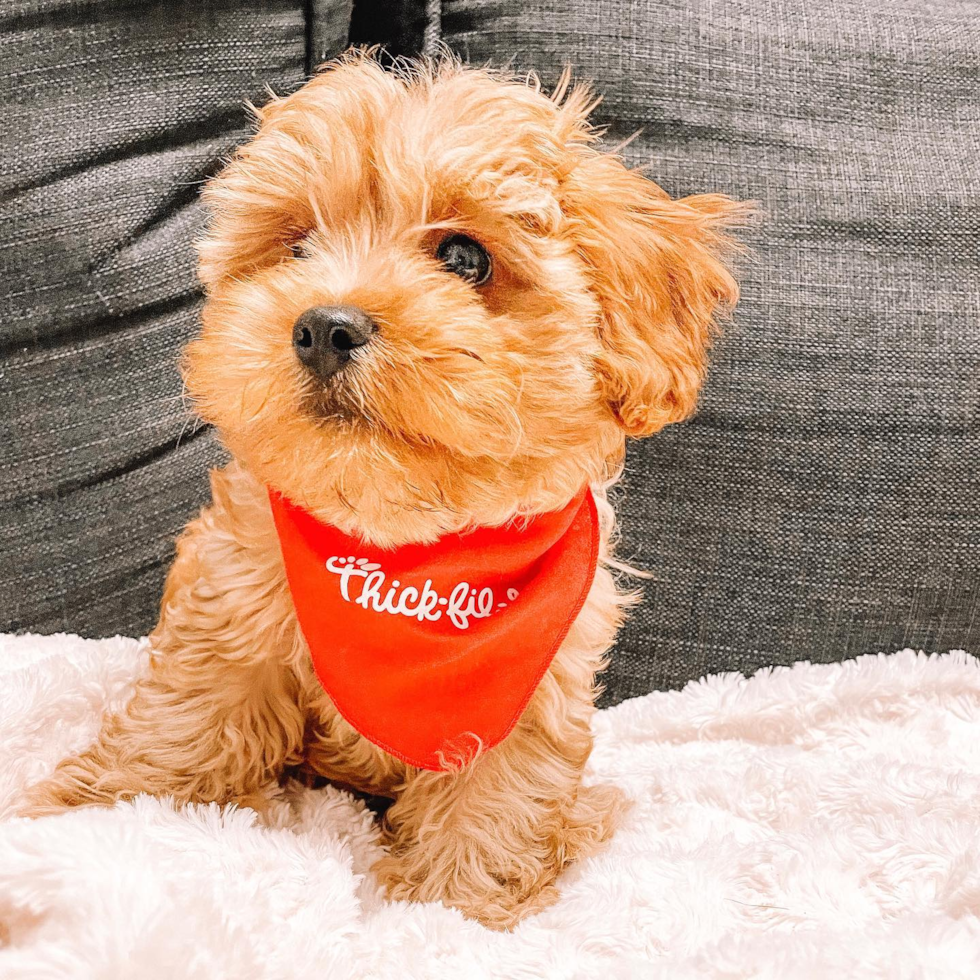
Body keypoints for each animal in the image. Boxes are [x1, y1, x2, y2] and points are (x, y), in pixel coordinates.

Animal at [24, 51, 744, 928]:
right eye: (297, 245)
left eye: (465, 257)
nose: (323, 327)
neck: (397, 542)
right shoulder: (232, 599)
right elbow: (188, 714)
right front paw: (103, 811)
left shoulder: (532, 687)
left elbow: (494, 798)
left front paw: (453, 905)